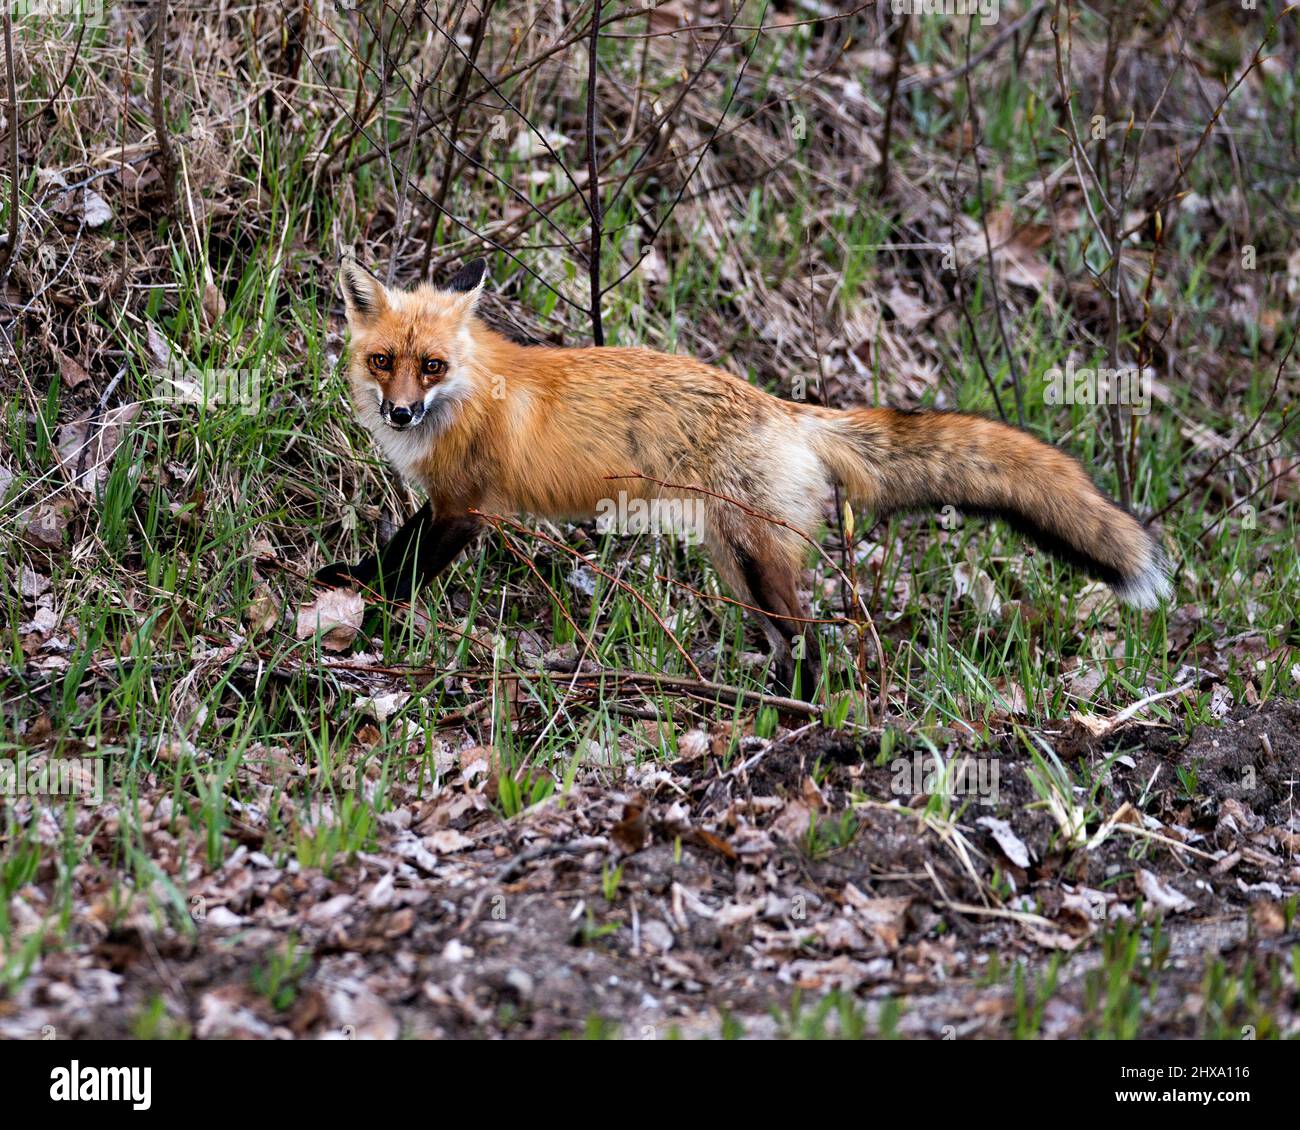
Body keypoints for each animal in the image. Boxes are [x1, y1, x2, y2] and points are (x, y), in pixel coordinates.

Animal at [318, 256, 1171, 693]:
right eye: (383, 360)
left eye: (431, 365)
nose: (400, 414)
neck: (468, 393)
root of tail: (785, 406)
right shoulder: (445, 502)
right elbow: (391, 550)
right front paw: (347, 583)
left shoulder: (466, 508)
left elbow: (403, 567)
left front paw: (366, 612)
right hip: (734, 561)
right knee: (792, 640)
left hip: (756, 557)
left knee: (815, 643)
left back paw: (797, 714)